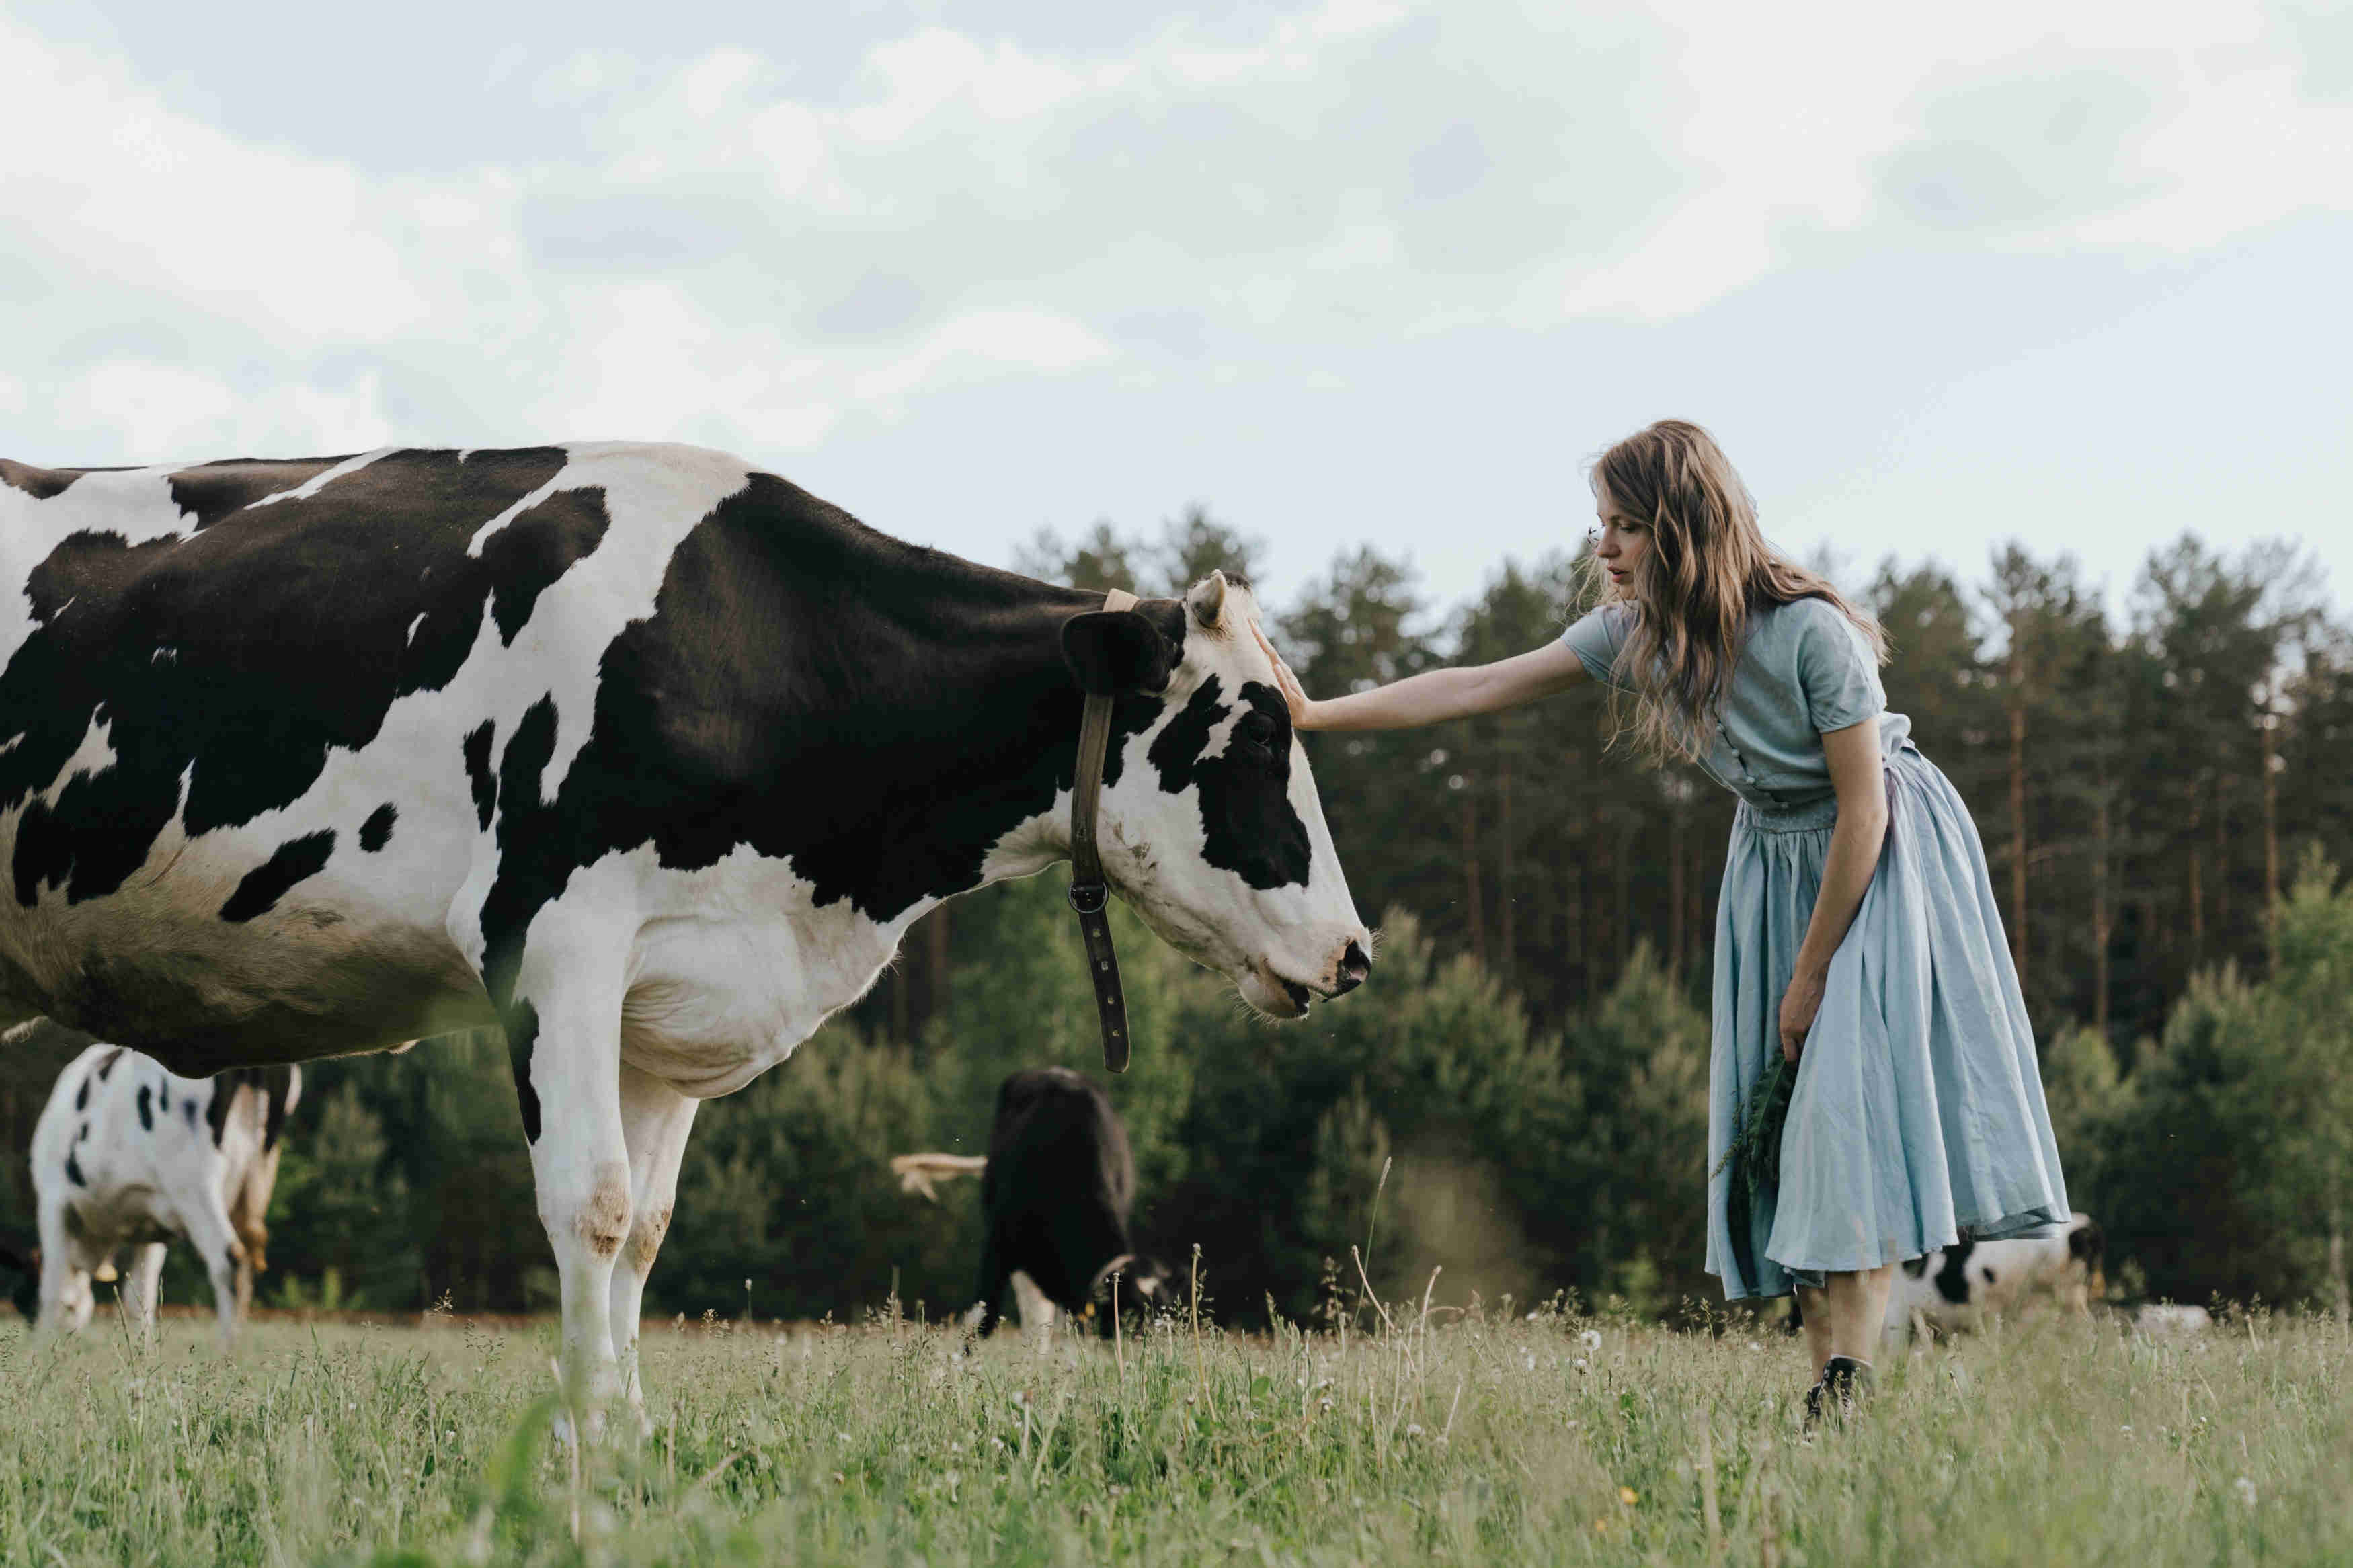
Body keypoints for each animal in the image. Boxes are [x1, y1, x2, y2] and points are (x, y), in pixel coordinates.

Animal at [17, 1020, 298, 1354]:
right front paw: (145, 1355)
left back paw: (227, 1354)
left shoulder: (53, 1200)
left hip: (194, 1184)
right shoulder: (150, 1221)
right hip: (258, 1179)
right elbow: (140, 1298)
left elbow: (51, 1289)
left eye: (24, 1299)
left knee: (230, 1259)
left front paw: (39, 1351)